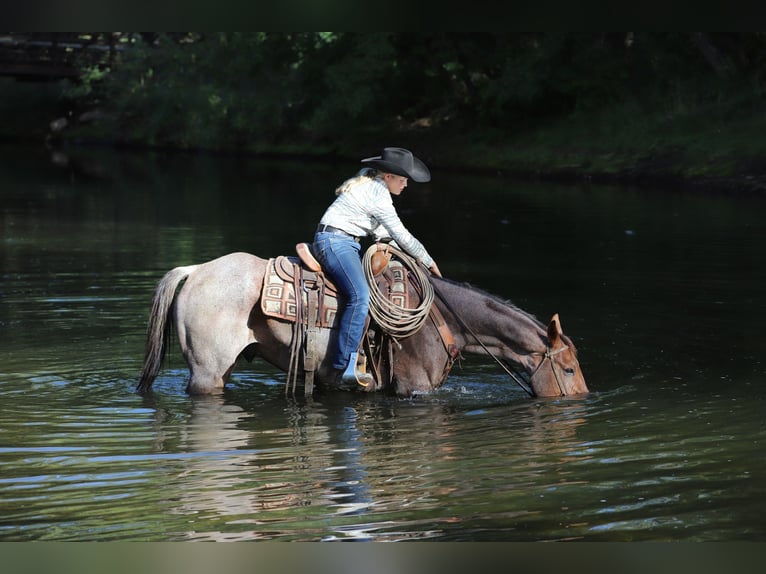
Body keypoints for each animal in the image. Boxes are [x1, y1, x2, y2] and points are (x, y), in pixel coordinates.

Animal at [136, 252, 588, 400]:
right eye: (568, 368)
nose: (582, 400)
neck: (442, 319)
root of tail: (195, 270)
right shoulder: (414, 389)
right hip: (207, 374)